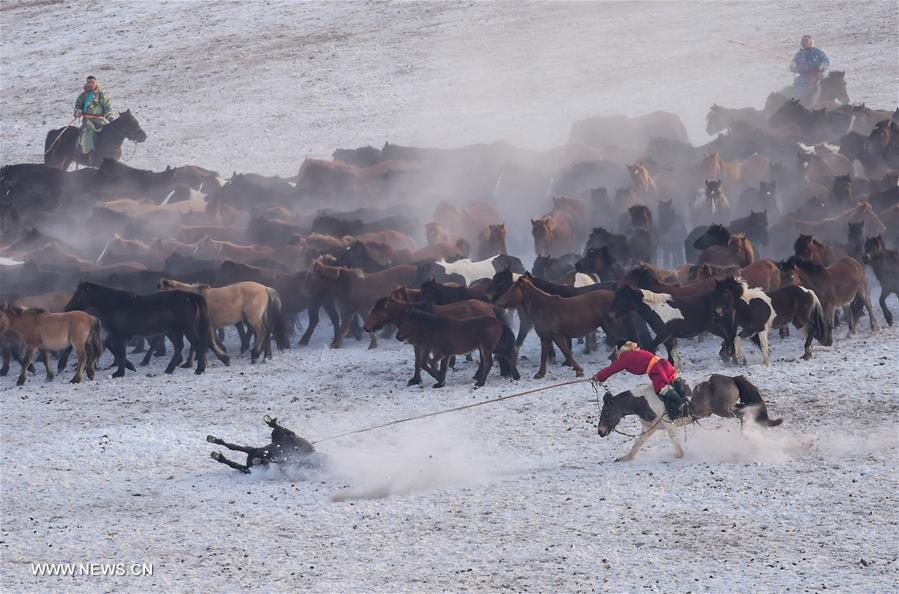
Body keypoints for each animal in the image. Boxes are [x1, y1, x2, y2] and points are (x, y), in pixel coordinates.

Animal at [65, 281, 212, 377]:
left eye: (79, 294)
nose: (67, 308)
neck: (116, 304)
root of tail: (189, 296)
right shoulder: (119, 334)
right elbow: (113, 348)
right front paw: (129, 366)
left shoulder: (121, 335)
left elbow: (120, 351)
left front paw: (119, 372)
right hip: (174, 331)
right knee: (179, 346)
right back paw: (169, 369)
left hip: (186, 328)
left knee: (196, 344)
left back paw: (199, 369)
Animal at [596, 375, 781, 461]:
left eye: (606, 411)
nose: (600, 432)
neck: (644, 400)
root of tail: (731, 379)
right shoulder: (649, 428)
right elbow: (638, 443)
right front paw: (626, 457)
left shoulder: (668, 424)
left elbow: (674, 440)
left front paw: (679, 454)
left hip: (724, 410)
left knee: (744, 414)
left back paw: (747, 434)